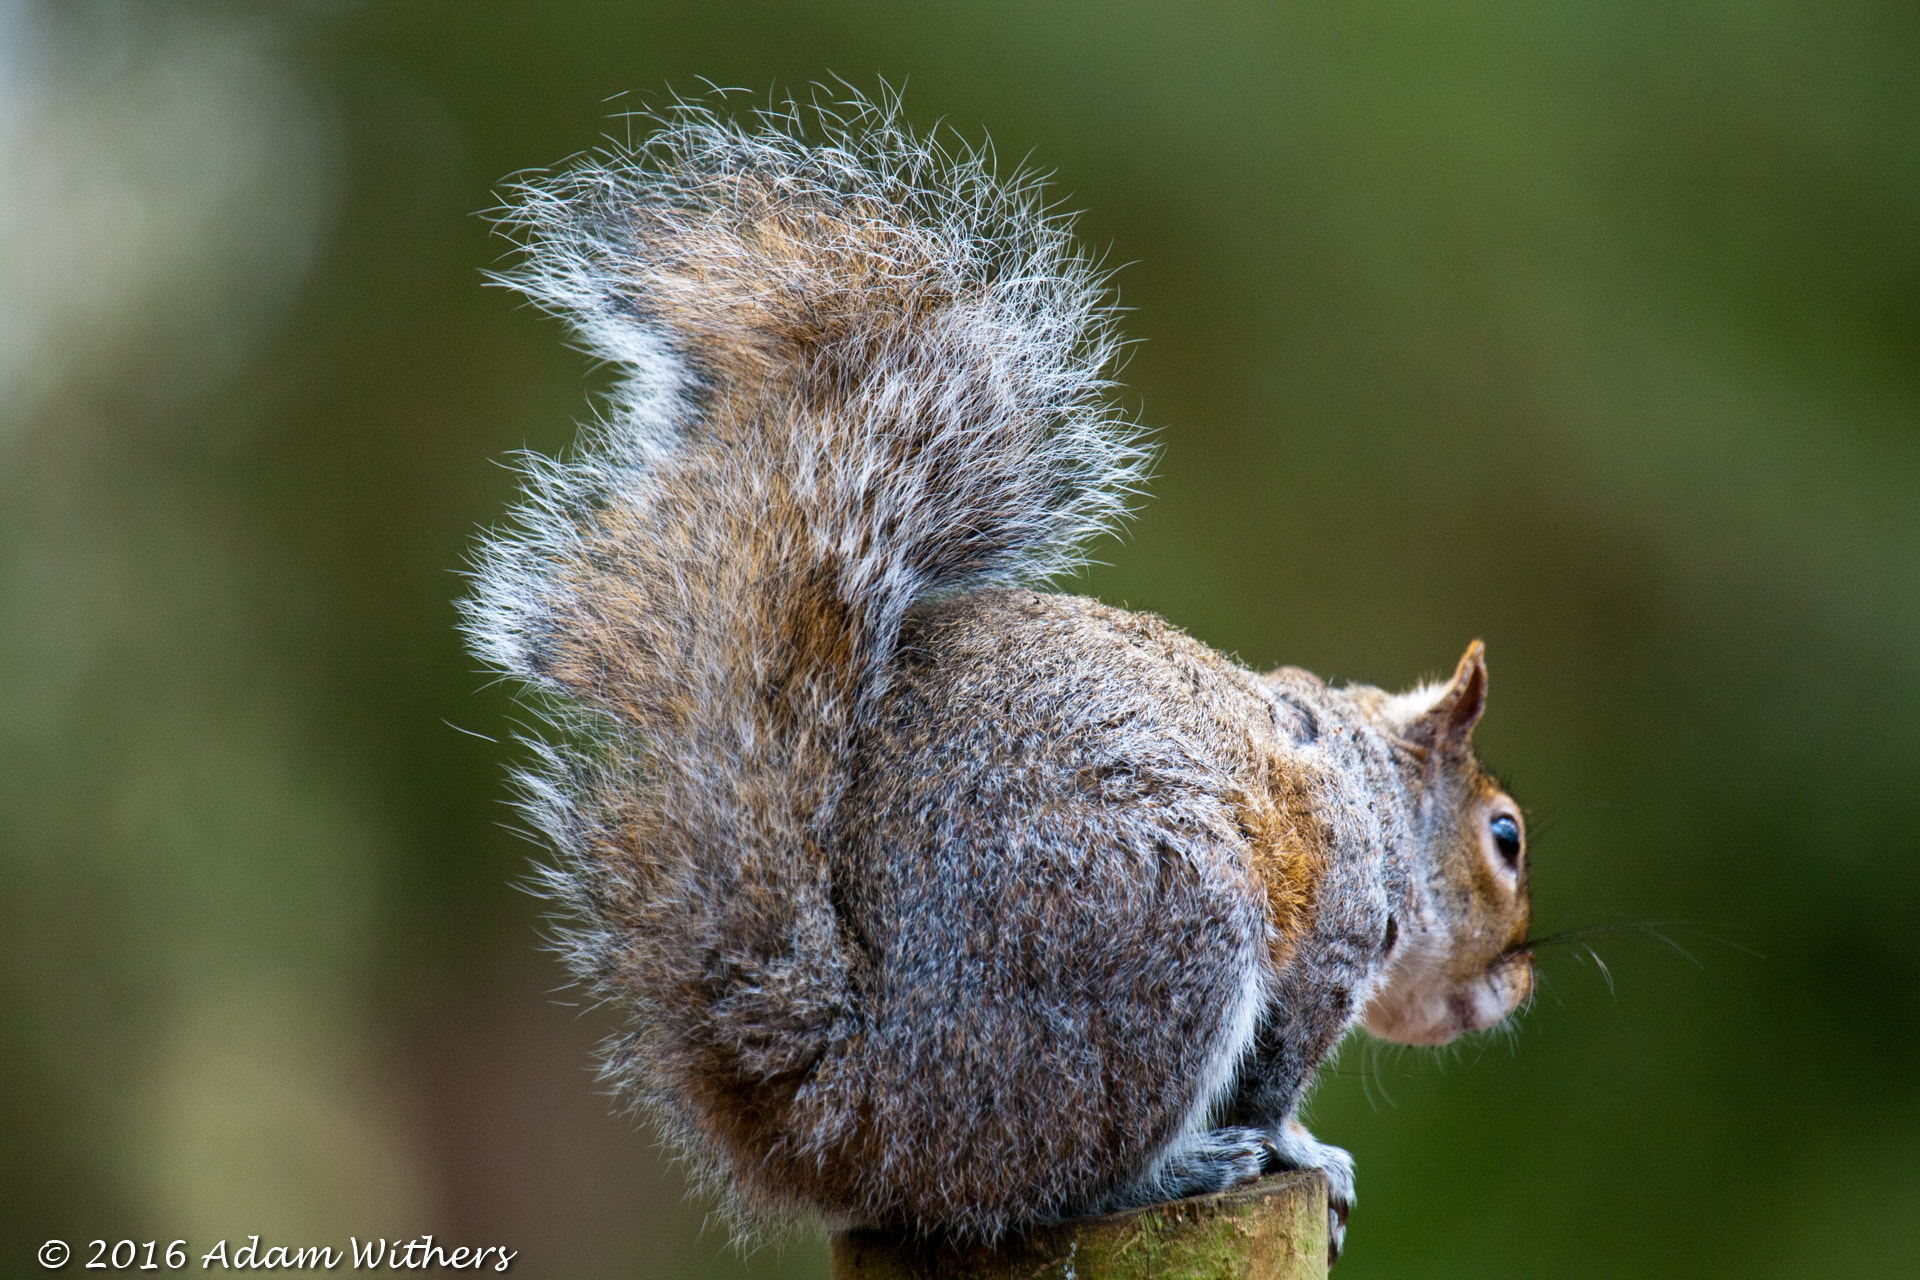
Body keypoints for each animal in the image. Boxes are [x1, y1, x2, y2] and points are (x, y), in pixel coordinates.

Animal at [463, 94, 1533, 1262]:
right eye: (1507, 838)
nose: (1516, 984)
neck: (1377, 791)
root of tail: (843, 1106)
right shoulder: (1328, 929)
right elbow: (1274, 1079)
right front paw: (1308, 1152)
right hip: (1164, 935)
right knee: (1060, 1181)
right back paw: (1184, 1163)